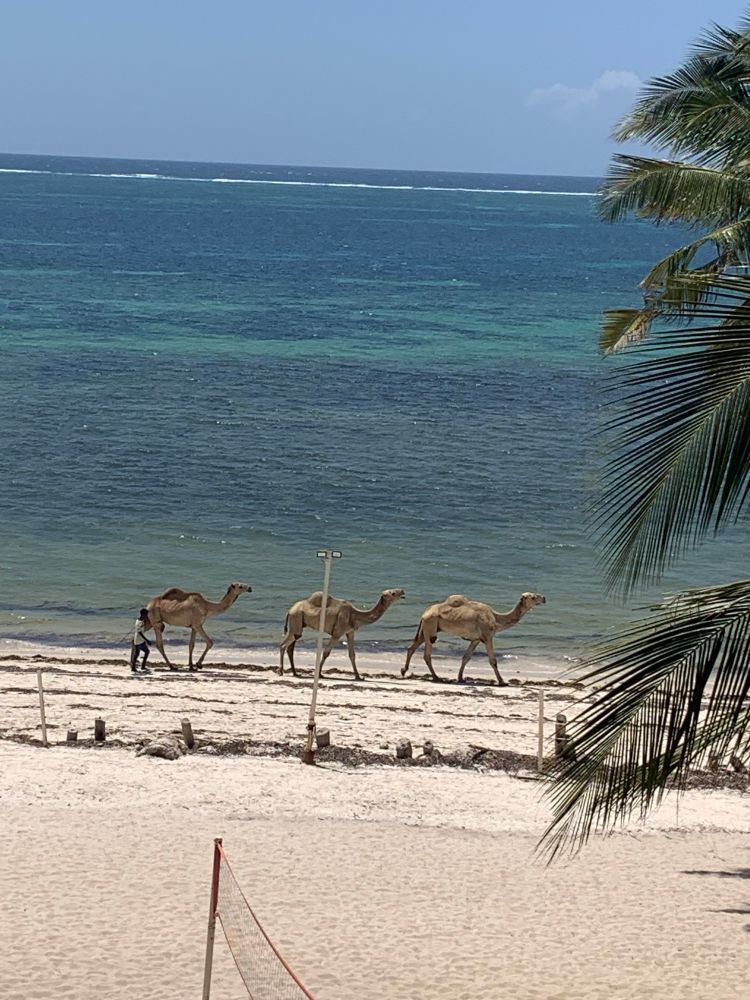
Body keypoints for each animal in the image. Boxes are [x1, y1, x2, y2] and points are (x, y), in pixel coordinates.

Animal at [402, 591, 546, 686]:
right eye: (533, 597)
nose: (544, 598)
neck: (496, 618)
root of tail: (424, 613)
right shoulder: (487, 636)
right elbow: (493, 660)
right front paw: (502, 681)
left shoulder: (475, 639)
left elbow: (466, 657)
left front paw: (460, 678)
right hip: (430, 626)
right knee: (427, 654)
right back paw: (437, 677)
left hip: (426, 629)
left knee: (412, 647)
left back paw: (404, 671)